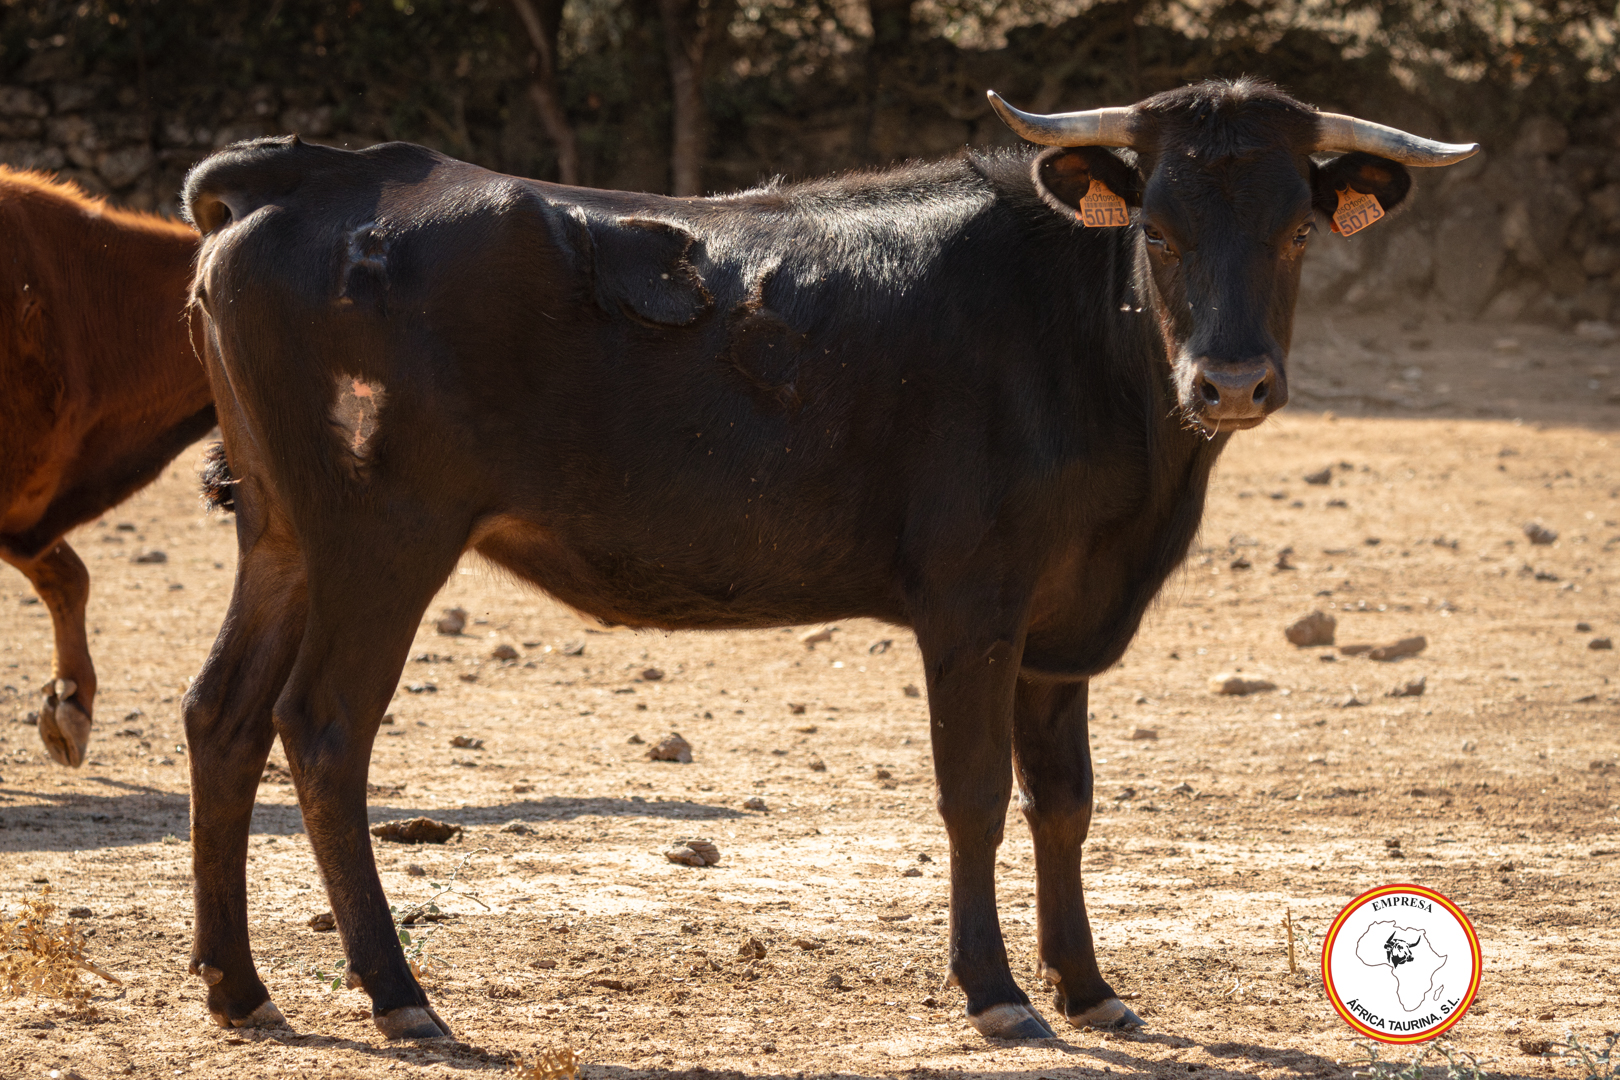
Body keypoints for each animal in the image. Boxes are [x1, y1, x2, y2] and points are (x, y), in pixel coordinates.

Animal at [179, 78, 1476, 1041]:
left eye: (1297, 229)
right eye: (1156, 229)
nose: (1233, 382)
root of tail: (315, 171)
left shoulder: (1064, 627)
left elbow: (1064, 800)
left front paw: (1090, 987)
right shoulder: (973, 599)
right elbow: (975, 794)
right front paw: (997, 994)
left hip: (281, 539)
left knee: (223, 717)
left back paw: (240, 989)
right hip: (383, 539)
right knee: (323, 729)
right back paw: (401, 998)